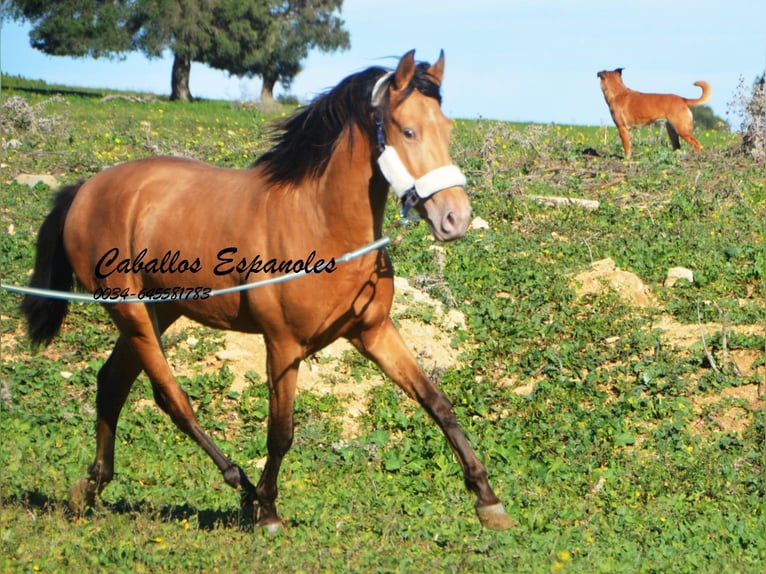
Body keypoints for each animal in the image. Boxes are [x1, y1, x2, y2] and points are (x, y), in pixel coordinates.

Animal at [21, 51, 516, 532]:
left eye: (447, 128)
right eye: (408, 130)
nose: (455, 218)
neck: (320, 223)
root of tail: (86, 188)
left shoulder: (373, 331)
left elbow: (437, 402)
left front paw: (488, 501)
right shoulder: (282, 345)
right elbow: (280, 432)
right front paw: (270, 512)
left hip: (160, 310)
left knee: (112, 383)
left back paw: (90, 489)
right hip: (131, 313)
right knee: (171, 399)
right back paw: (240, 489)